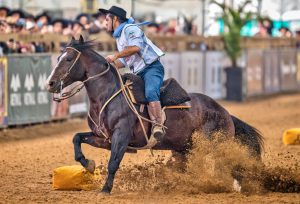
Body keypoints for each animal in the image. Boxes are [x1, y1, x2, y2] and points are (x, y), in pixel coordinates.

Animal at [45, 35, 264, 194]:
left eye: (68, 59)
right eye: (58, 58)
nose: (50, 83)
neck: (107, 96)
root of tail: (225, 113)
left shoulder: (121, 137)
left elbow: (113, 163)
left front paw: (105, 189)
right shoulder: (103, 138)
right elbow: (76, 138)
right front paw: (88, 164)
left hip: (212, 144)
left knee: (228, 164)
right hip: (184, 149)